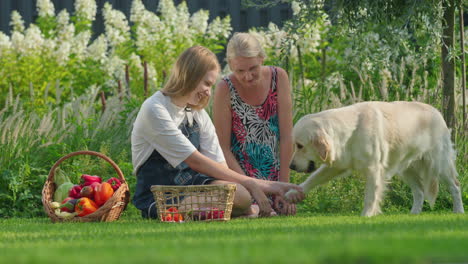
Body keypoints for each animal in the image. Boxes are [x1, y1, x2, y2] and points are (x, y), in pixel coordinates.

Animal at [286, 101, 464, 217]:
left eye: (300, 145)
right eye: (294, 145)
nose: (291, 166)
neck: (351, 132)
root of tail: (438, 112)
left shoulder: (373, 168)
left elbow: (370, 196)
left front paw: (367, 216)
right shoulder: (337, 165)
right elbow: (312, 179)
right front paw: (293, 193)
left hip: (439, 165)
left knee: (455, 186)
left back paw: (459, 211)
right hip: (407, 169)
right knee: (419, 191)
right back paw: (414, 213)